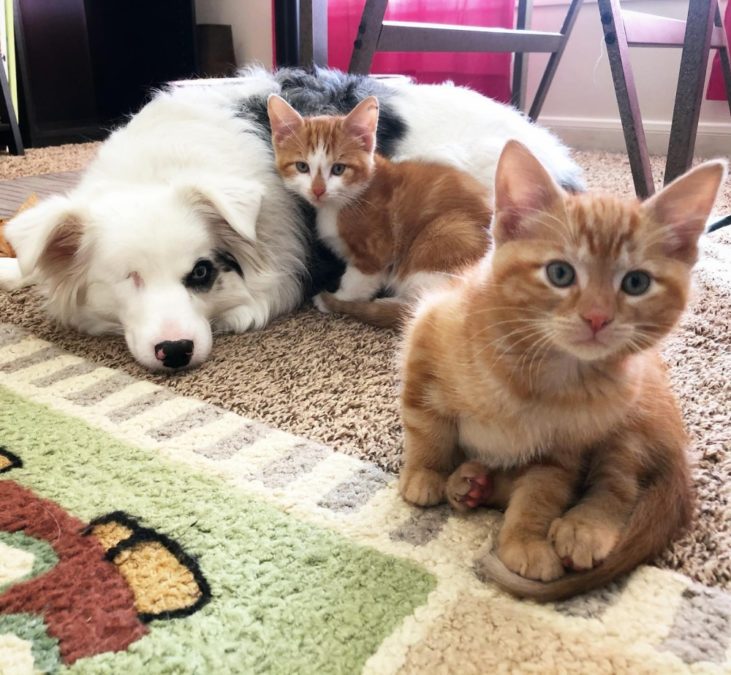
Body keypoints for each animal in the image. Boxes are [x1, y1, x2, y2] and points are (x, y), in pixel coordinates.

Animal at [268, 94, 492, 328]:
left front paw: (338, 298)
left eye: (339, 169)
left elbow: (357, 282)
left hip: (446, 234)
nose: (318, 190)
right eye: (302, 166)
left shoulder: (376, 251)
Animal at [398, 139, 728, 604]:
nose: (597, 317)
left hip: (628, 422)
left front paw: (524, 541)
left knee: (619, 484)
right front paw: (424, 473)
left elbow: (543, 491)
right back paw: (467, 483)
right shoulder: (428, 330)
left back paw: (582, 527)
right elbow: (426, 422)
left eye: (636, 283)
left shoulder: (565, 450)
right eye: (560, 273)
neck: (543, 373)